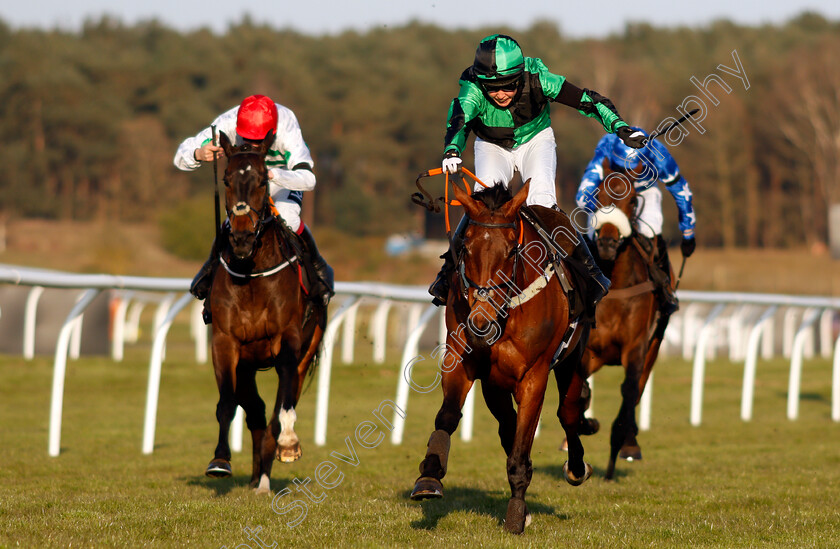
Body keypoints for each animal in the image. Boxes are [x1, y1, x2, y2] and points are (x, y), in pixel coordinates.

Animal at [205, 130, 326, 492]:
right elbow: (227, 403)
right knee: (255, 411)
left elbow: (283, 401)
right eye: (227, 180)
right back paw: (258, 475)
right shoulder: (225, 342)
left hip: (307, 349)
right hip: (246, 365)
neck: (252, 274)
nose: (242, 238)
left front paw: (288, 442)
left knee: (280, 402)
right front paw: (220, 460)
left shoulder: (288, 339)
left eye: (262, 180)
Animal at [410, 182, 592, 532]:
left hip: (573, 357)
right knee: (508, 425)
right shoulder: (464, 360)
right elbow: (448, 416)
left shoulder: (534, 375)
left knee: (568, 412)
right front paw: (429, 475)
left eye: (510, 251)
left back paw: (576, 468)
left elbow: (524, 441)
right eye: (466, 248)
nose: (480, 323)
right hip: (494, 383)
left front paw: (516, 514)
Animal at [580, 158, 672, 480]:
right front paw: (585, 424)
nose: (607, 241)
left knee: (639, 387)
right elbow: (581, 389)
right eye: (598, 194)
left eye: (632, 200)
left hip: (655, 343)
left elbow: (629, 390)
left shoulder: (635, 347)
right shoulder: (589, 348)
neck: (617, 285)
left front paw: (619, 446)